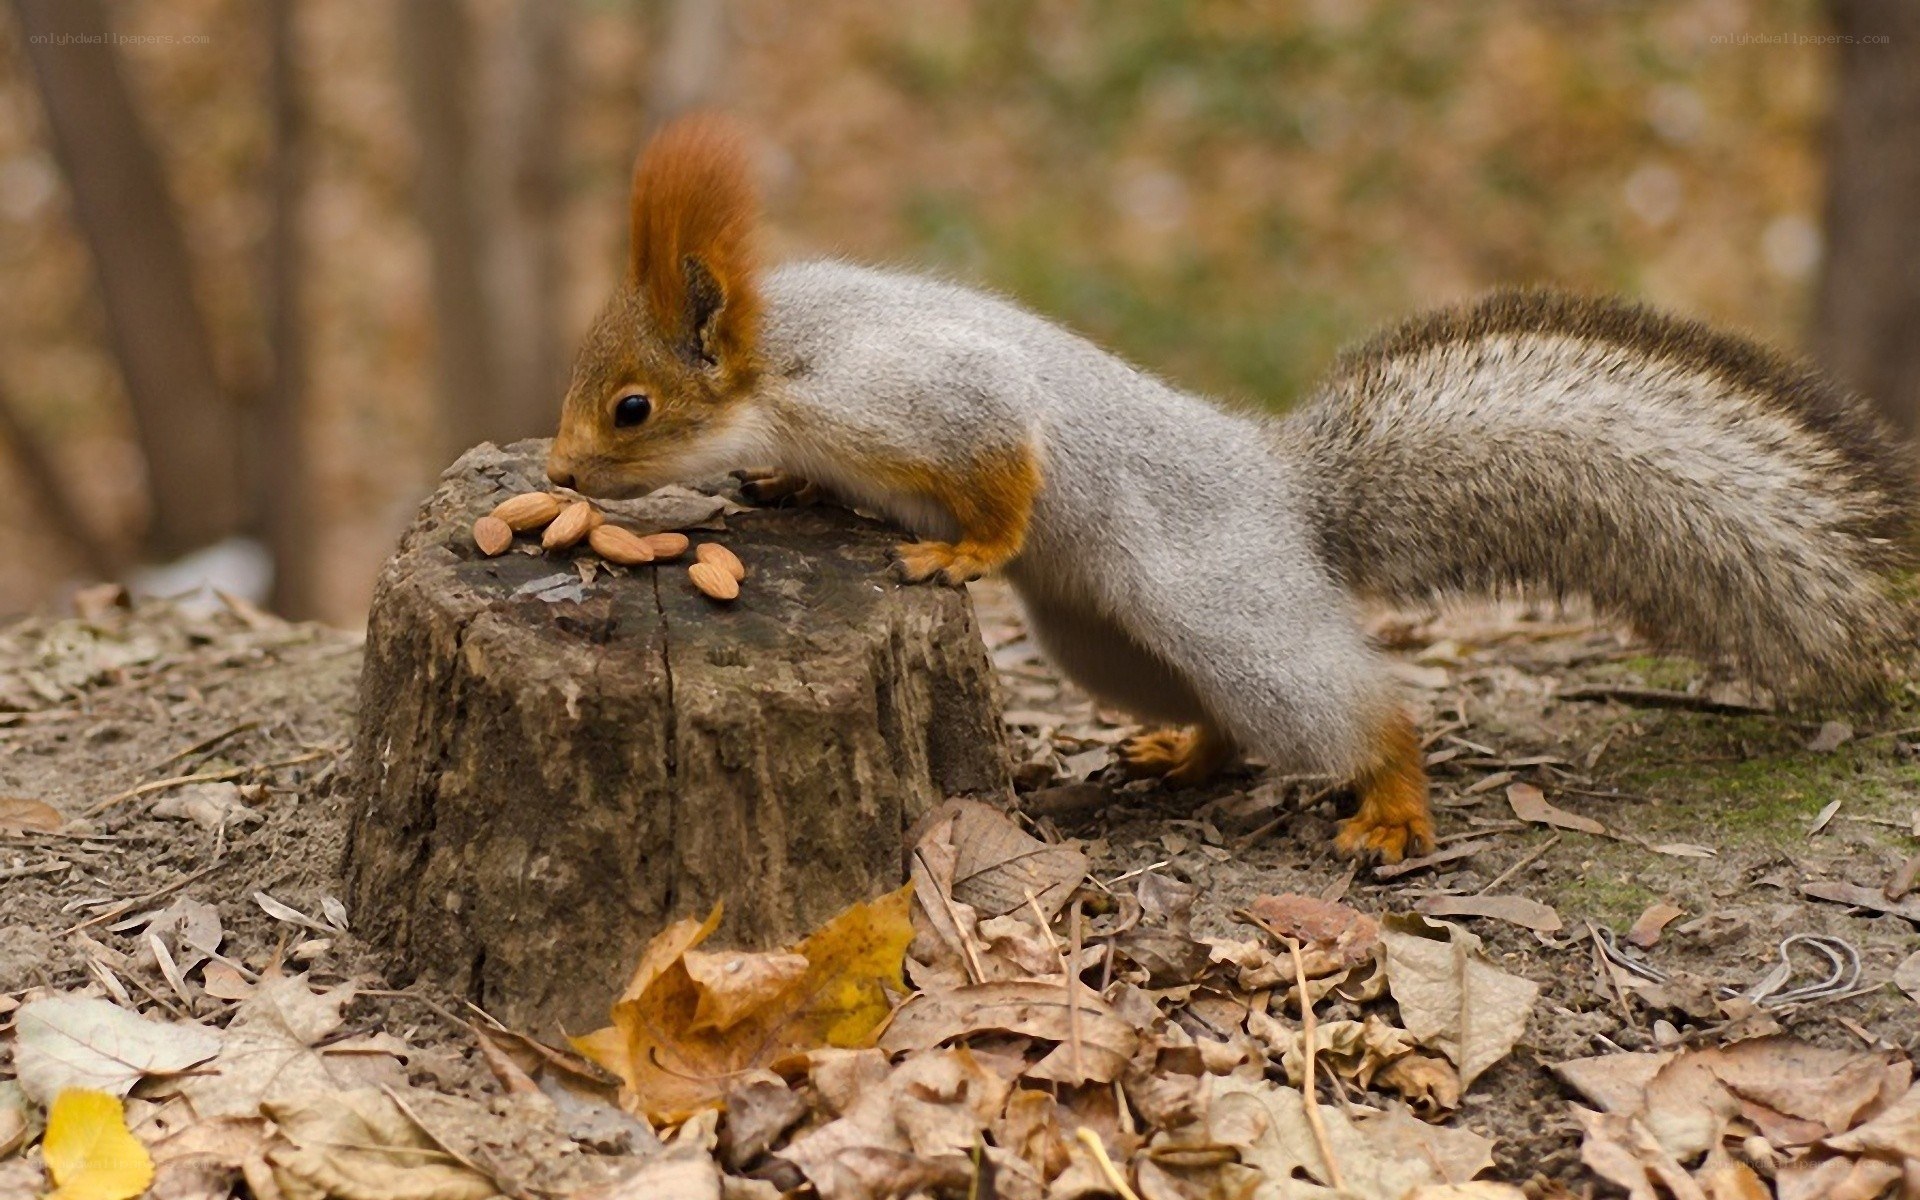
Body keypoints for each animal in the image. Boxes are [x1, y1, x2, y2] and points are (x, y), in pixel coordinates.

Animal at [547, 114, 1918, 864]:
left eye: (632, 409)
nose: (558, 472)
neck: (779, 356)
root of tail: (1288, 494)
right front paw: (780, 484)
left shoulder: (910, 392)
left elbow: (1004, 457)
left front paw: (963, 551)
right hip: (1105, 639)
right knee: (1215, 717)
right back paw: (1181, 751)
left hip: (1230, 611)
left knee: (1352, 711)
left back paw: (1393, 805)